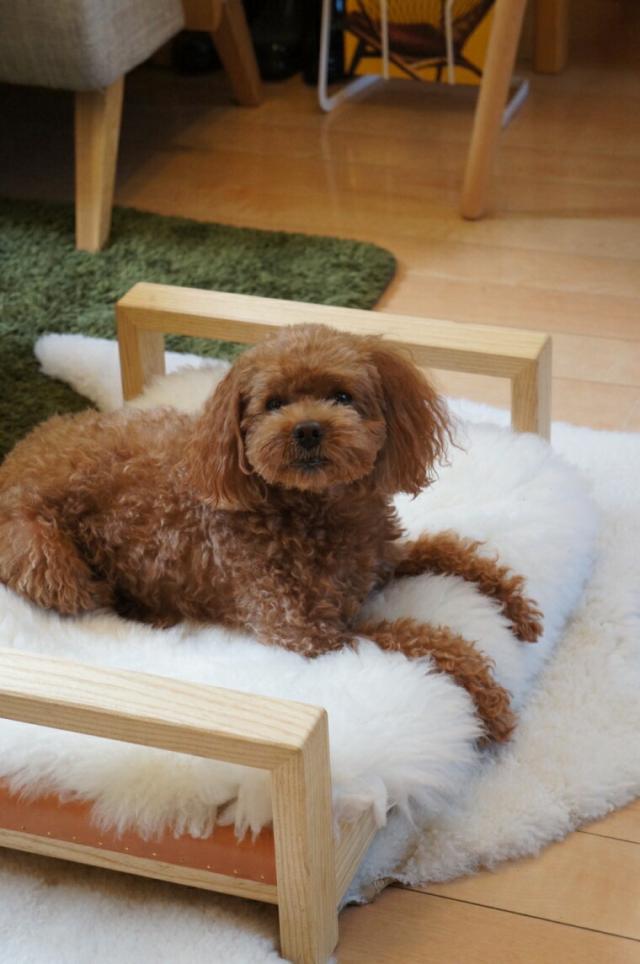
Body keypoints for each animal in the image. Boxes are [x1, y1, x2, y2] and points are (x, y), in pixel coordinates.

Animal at [0, 324, 542, 741]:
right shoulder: (307, 634)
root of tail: (16, 456)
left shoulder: (379, 559)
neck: (313, 510)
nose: (307, 430)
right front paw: (491, 703)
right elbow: (423, 637)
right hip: (46, 556)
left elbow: (451, 549)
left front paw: (519, 612)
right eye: (273, 403)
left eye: (342, 396)